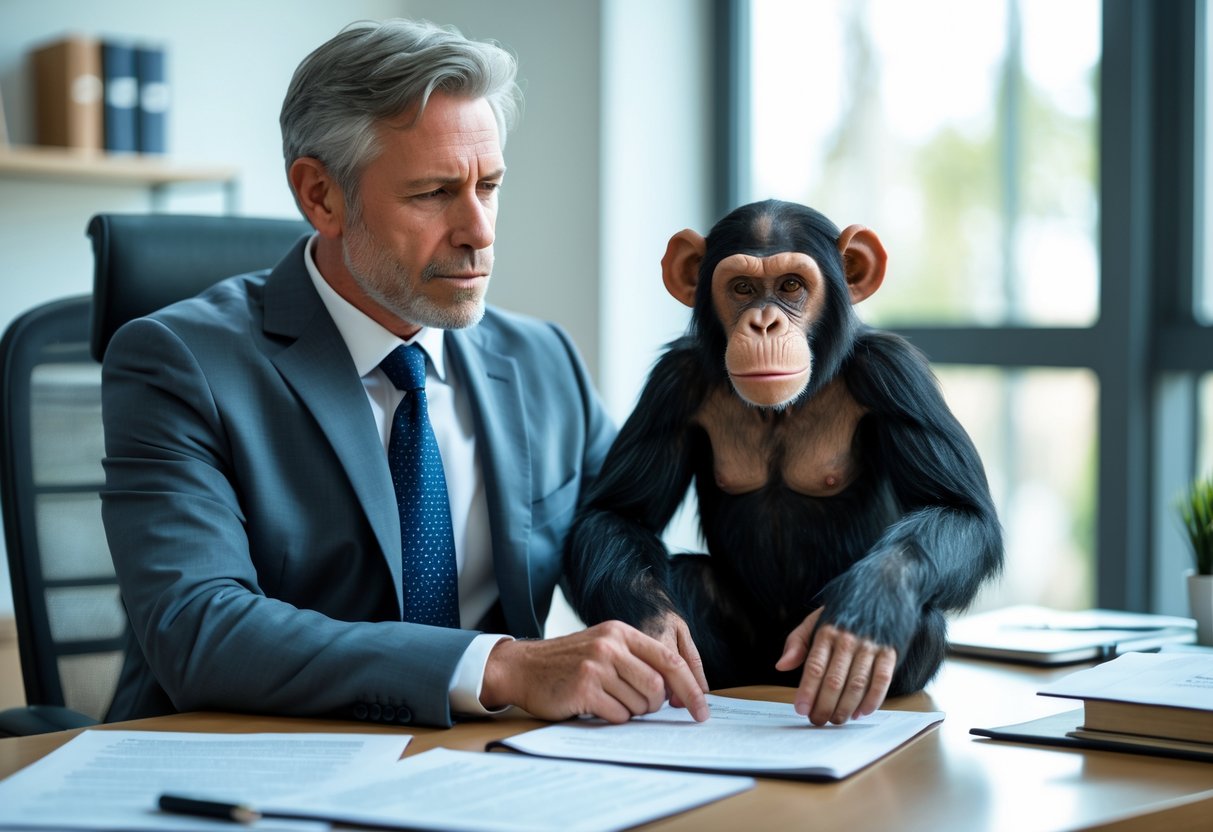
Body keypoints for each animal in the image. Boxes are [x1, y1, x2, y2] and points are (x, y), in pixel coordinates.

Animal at [565, 199, 1003, 724]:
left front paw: (867, 610)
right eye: (742, 288)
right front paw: (652, 633)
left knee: (922, 616)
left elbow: (960, 509)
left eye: (792, 285)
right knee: (692, 577)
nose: (764, 323)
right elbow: (616, 512)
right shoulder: (671, 383)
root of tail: (774, 675)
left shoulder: (896, 373)